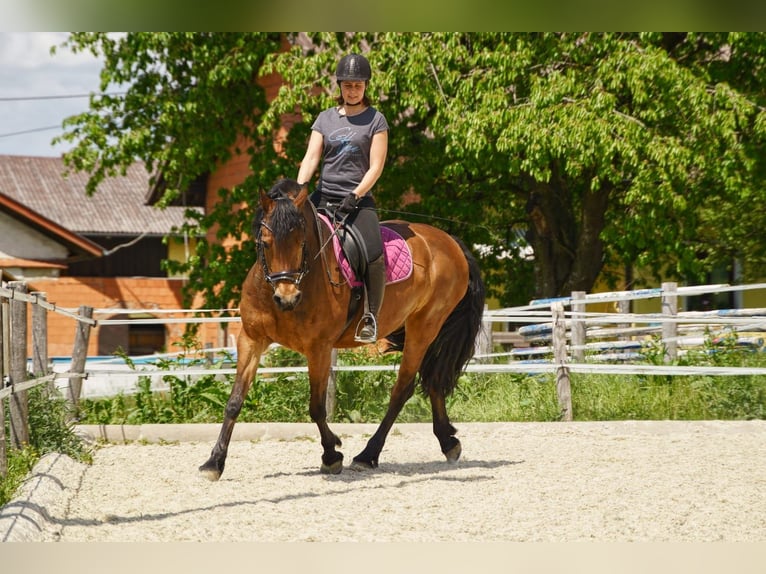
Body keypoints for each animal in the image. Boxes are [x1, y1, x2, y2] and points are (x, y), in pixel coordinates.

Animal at [200, 180, 486, 482]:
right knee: (433, 379)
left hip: (425, 326)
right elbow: (234, 401)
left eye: (301, 242)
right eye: (265, 243)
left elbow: (316, 407)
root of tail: (449, 241)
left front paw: (331, 455)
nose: (287, 298)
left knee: (403, 388)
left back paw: (368, 455)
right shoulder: (251, 340)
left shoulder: (319, 348)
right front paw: (214, 462)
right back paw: (448, 442)